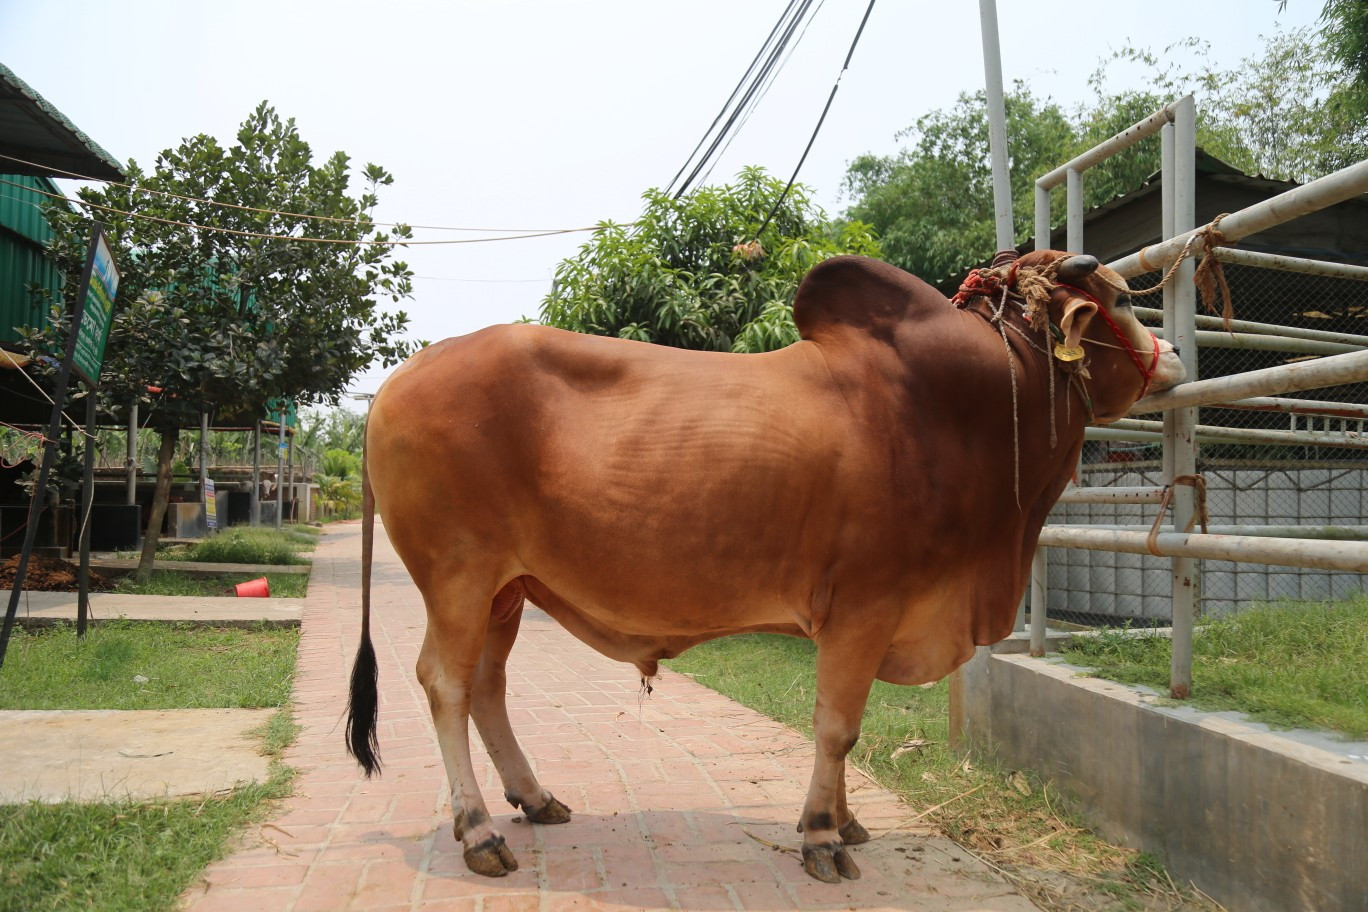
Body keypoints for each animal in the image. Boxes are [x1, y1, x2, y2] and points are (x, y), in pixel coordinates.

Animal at [345, 250, 1185, 883]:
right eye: (1117, 299)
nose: (1173, 354)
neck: (955, 409)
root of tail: (395, 382)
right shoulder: (863, 607)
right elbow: (838, 727)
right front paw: (821, 836)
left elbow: (846, 729)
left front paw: (847, 821)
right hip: (457, 578)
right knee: (445, 684)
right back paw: (479, 830)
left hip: (506, 592)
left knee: (488, 687)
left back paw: (534, 798)